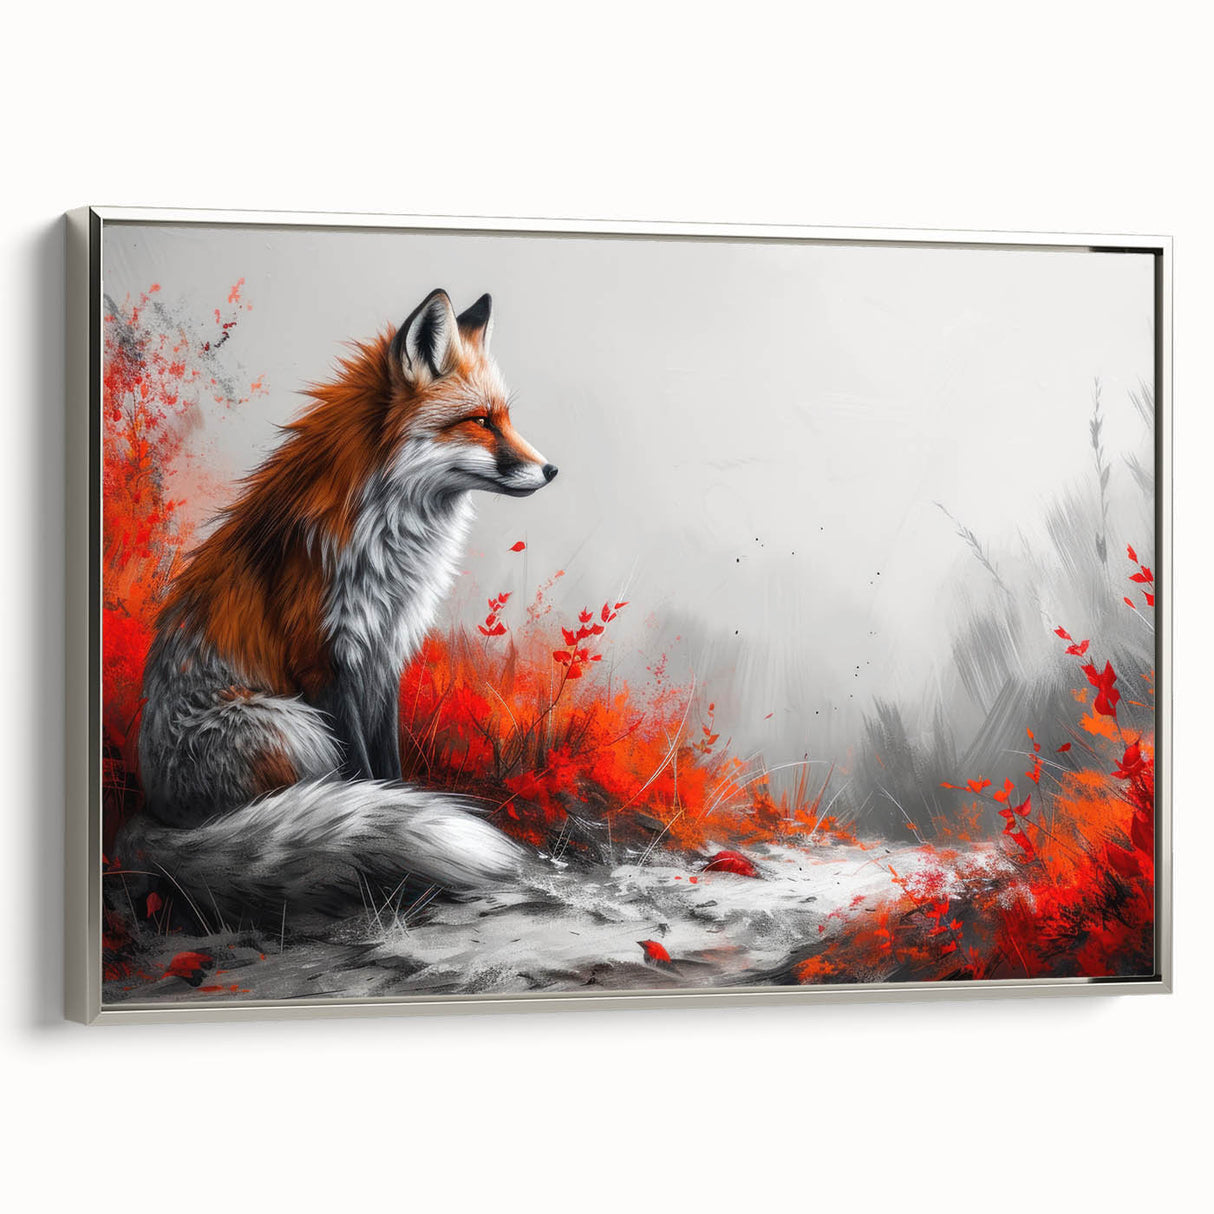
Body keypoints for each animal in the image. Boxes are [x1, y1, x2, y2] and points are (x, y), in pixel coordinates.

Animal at [115, 289, 558, 928]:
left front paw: (401, 827)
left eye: (505, 418)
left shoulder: (384, 652)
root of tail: (153, 814)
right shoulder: (325, 659)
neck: (390, 541)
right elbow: (363, 780)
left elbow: (388, 771)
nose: (551, 469)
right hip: (293, 726)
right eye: (480, 422)